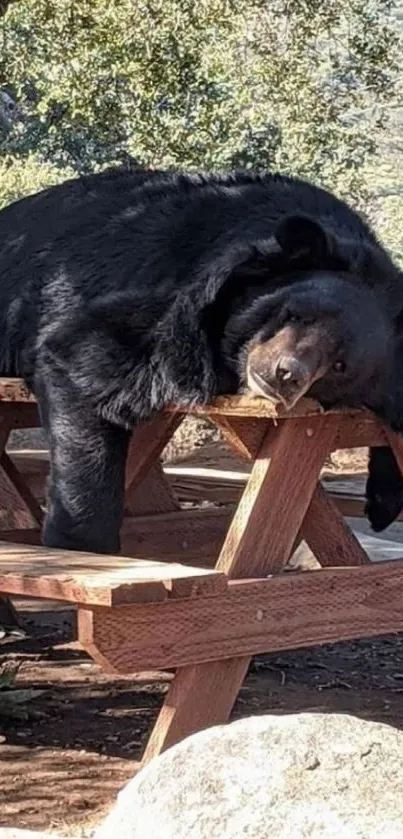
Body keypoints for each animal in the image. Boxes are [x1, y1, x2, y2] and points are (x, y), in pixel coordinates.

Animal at [0, 167, 402, 556]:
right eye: (294, 313)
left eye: (339, 366)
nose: (284, 374)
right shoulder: (173, 300)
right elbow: (85, 358)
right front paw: (81, 545)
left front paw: (382, 502)